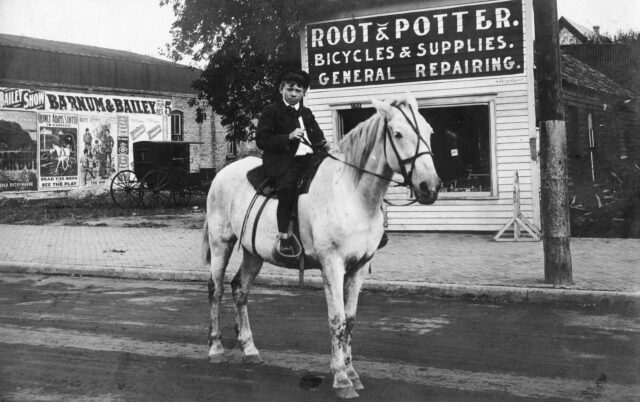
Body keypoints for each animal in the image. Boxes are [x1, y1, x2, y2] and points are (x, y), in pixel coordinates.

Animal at [201, 92, 440, 398]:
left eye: (429, 131)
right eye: (397, 134)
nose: (429, 187)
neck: (352, 193)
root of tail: (221, 174)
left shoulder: (358, 269)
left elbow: (350, 320)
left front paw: (352, 372)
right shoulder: (332, 265)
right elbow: (336, 319)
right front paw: (341, 378)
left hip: (254, 252)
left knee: (240, 290)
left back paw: (249, 348)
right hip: (221, 242)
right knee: (216, 289)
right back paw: (216, 348)